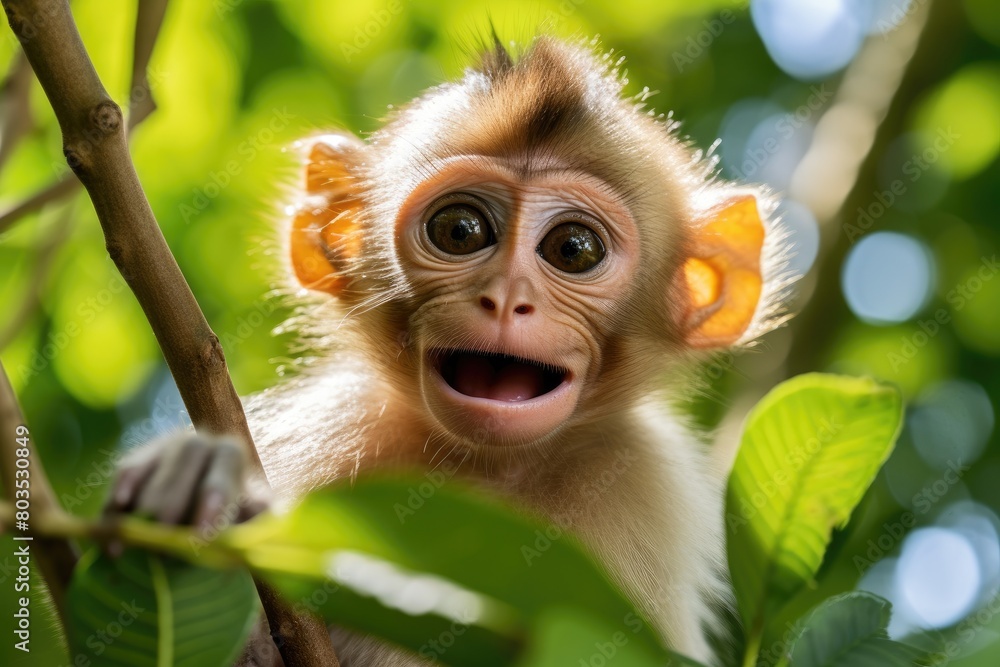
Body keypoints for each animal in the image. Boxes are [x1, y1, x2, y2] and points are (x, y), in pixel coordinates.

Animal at [106, 35, 787, 667]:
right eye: (460, 231)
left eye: (573, 249)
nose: (506, 297)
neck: (484, 470)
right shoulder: (335, 428)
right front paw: (202, 481)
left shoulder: (642, 493)